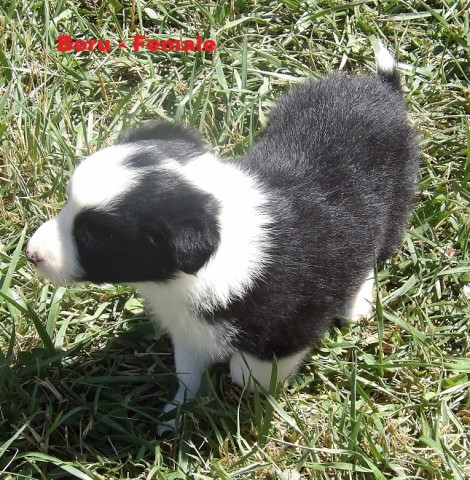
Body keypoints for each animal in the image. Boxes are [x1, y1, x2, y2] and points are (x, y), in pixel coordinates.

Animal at [27, 45, 420, 434]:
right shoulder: (188, 329)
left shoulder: (292, 327)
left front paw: (240, 382)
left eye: (93, 237)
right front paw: (175, 417)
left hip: (396, 201)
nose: (31, 253)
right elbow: (187, 373)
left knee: (373, 252)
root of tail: (381, 88)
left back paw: (357, 304)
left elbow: (249, 371)